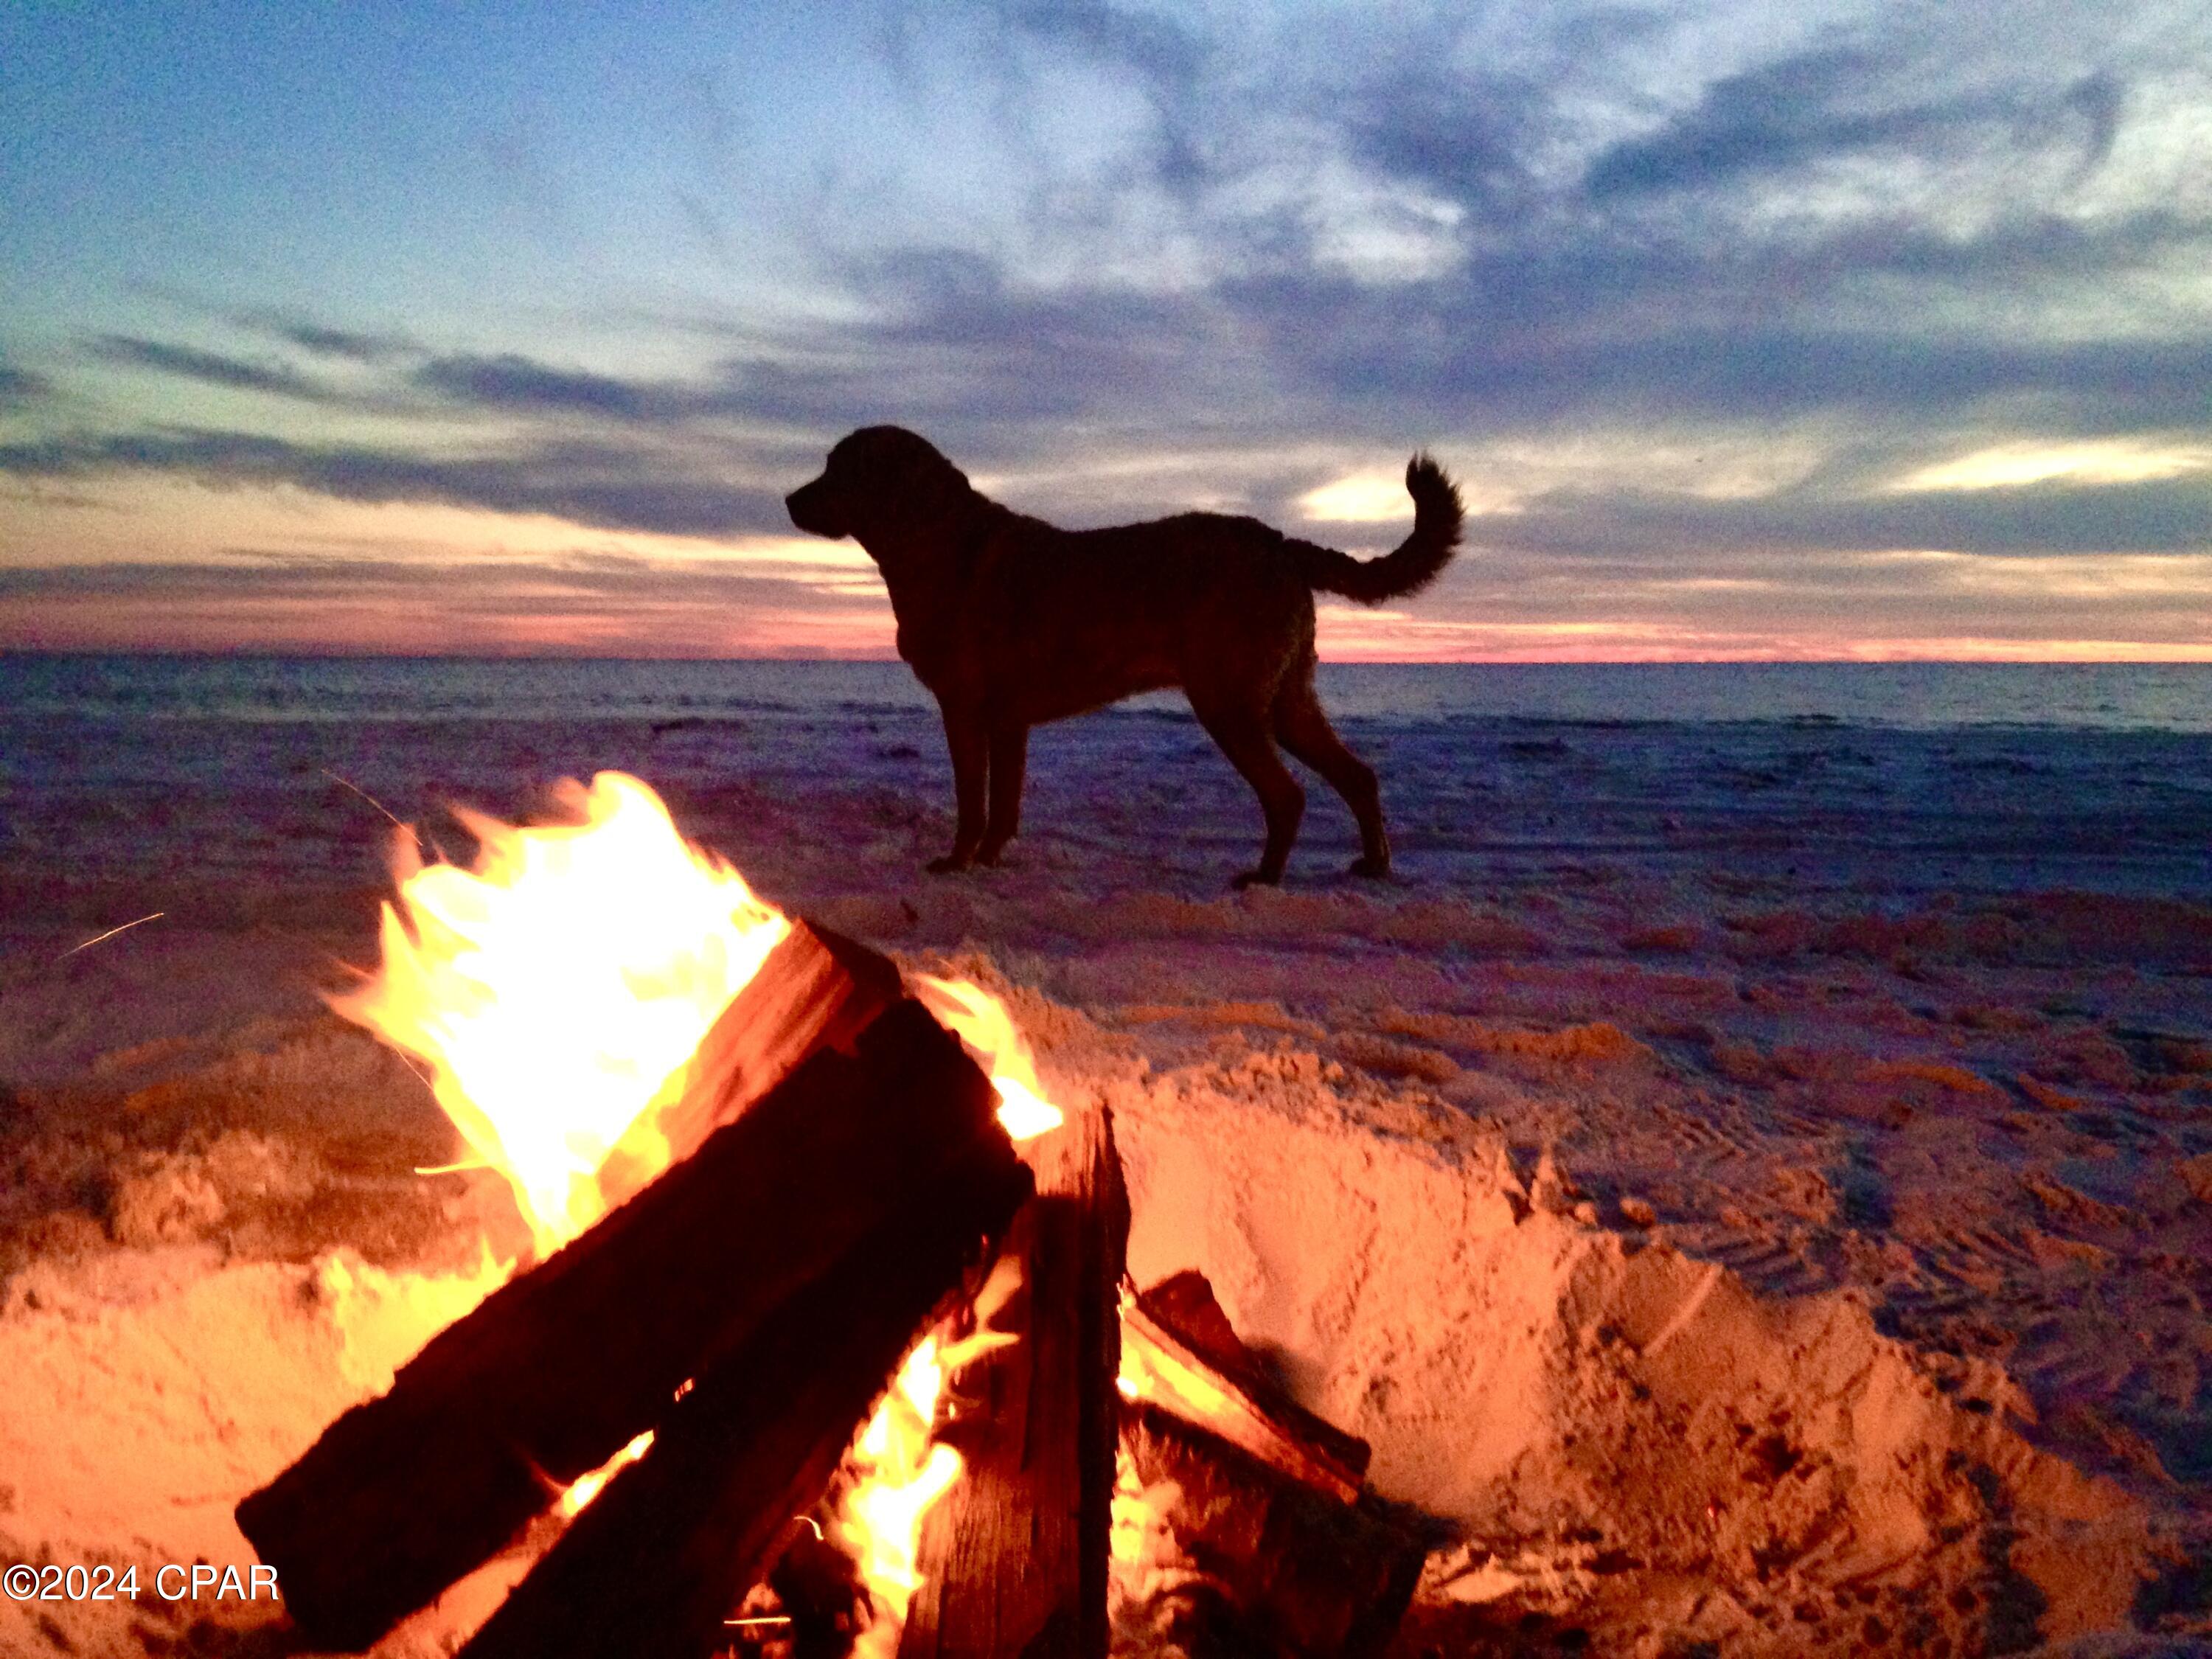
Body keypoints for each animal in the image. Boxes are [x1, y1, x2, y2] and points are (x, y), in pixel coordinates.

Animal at [787, 436, 1460, 889]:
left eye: (837, 469)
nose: (789, 499)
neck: (937, 541)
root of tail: (1280, 543)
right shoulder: (1008, 720)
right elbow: (1004, 804)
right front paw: (990, 860)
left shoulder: (964, 709)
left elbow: (972, 801)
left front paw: (956, 863)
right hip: (1287, 701)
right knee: (1358, 776)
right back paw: (1373, 864)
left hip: (1230, 702)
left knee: (1288, 794)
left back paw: (1264, 878)